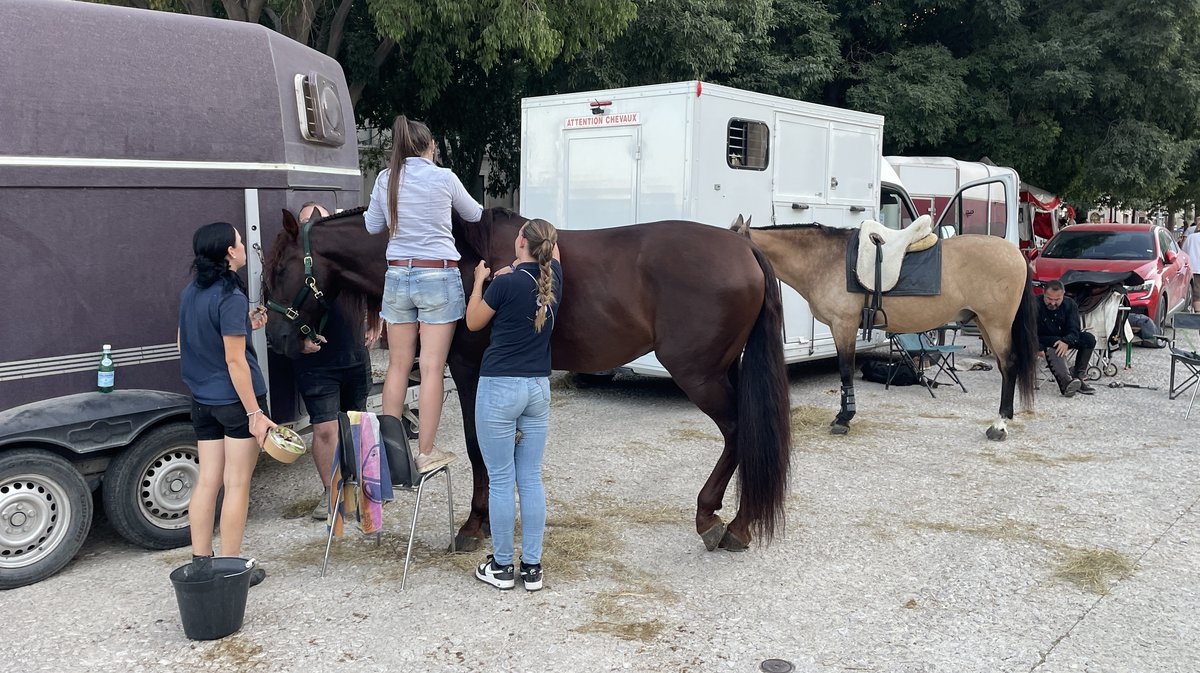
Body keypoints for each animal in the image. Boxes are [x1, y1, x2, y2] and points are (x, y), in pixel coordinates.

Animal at [264, 206, 792, 551]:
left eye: (279, 267)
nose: (276, 339)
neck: (454, 256)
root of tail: (743, 247)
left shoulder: (469, 368)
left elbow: (477, 443)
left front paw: (474, 526)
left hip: (698, 374)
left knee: (739, 431)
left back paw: (724, 523)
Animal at [729, 215, 1041, 441]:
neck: (825, 260)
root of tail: (1016, 254)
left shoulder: (844, 326)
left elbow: (845, 370)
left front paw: (844, 419)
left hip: (996, 324)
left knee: (1009, 365)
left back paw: (999, 425)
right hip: (985, 323)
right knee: (1006, 367)